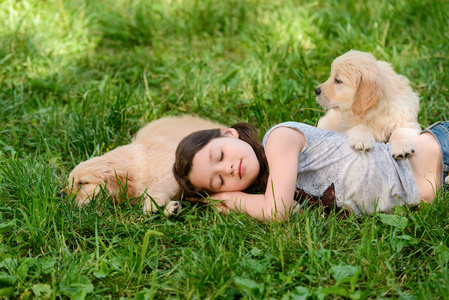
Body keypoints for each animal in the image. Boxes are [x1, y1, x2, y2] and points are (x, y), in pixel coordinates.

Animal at [64, 115, 222, 216]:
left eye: (83, 183)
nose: (61, 195)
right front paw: (169, 208)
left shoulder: (176, 167)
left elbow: (158, 185)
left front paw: (153, 204)